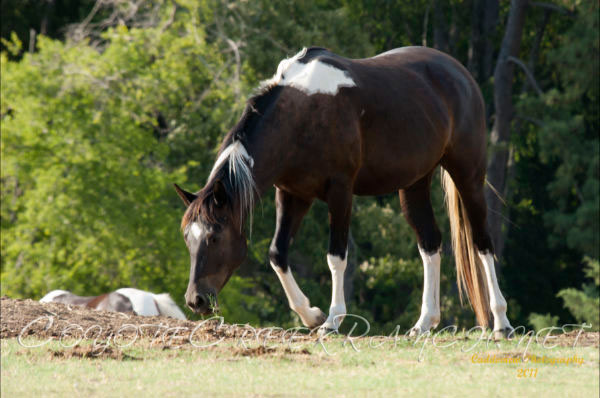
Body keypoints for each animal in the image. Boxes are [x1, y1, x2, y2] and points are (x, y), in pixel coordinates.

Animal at [175, 46, 516, 338]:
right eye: (187, 238)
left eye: (214, 236)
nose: (196, 300)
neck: (301, 115)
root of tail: (458, 73)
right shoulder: (292, 194)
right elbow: (277, 253)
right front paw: (311, 315)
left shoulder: (340, 192)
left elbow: (336, 257)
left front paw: (332, 319)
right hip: (414, 184)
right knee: (430, 244)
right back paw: (424, 323)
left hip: (468, 175)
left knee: (482, 242)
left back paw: (501, 322)